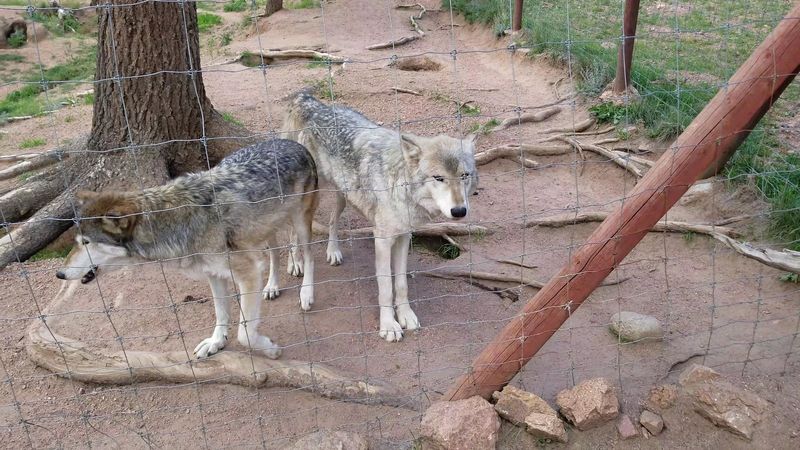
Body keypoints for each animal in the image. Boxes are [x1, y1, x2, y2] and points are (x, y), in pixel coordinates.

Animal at [55, 139, 319, 359]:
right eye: (76, 241)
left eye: (85, 242)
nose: (59, 273)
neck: (174, 224)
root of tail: (291, 142)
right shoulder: (214, 273)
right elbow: (221, 313)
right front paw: (216, 342)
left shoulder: (248, 274)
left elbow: (245, 334)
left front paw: (271, 349)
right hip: (265, 233)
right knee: (274, 255)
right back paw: (272, 286)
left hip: (300, 222)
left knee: (309, 254)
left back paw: (306, 292)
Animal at [283, 93, 478, 342]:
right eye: (438, 178)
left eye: (464, 175)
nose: (459, 211)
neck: (399, 183)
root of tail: (310, 102)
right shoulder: (383, 240)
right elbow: (385, 287)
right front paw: (388, 326)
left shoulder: (404, 236)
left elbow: (401, 283)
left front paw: (406, 316)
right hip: (309, 198)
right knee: (293, 232)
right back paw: (297, 266)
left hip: (342, 196)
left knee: (333, 222)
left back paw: (333, 251)